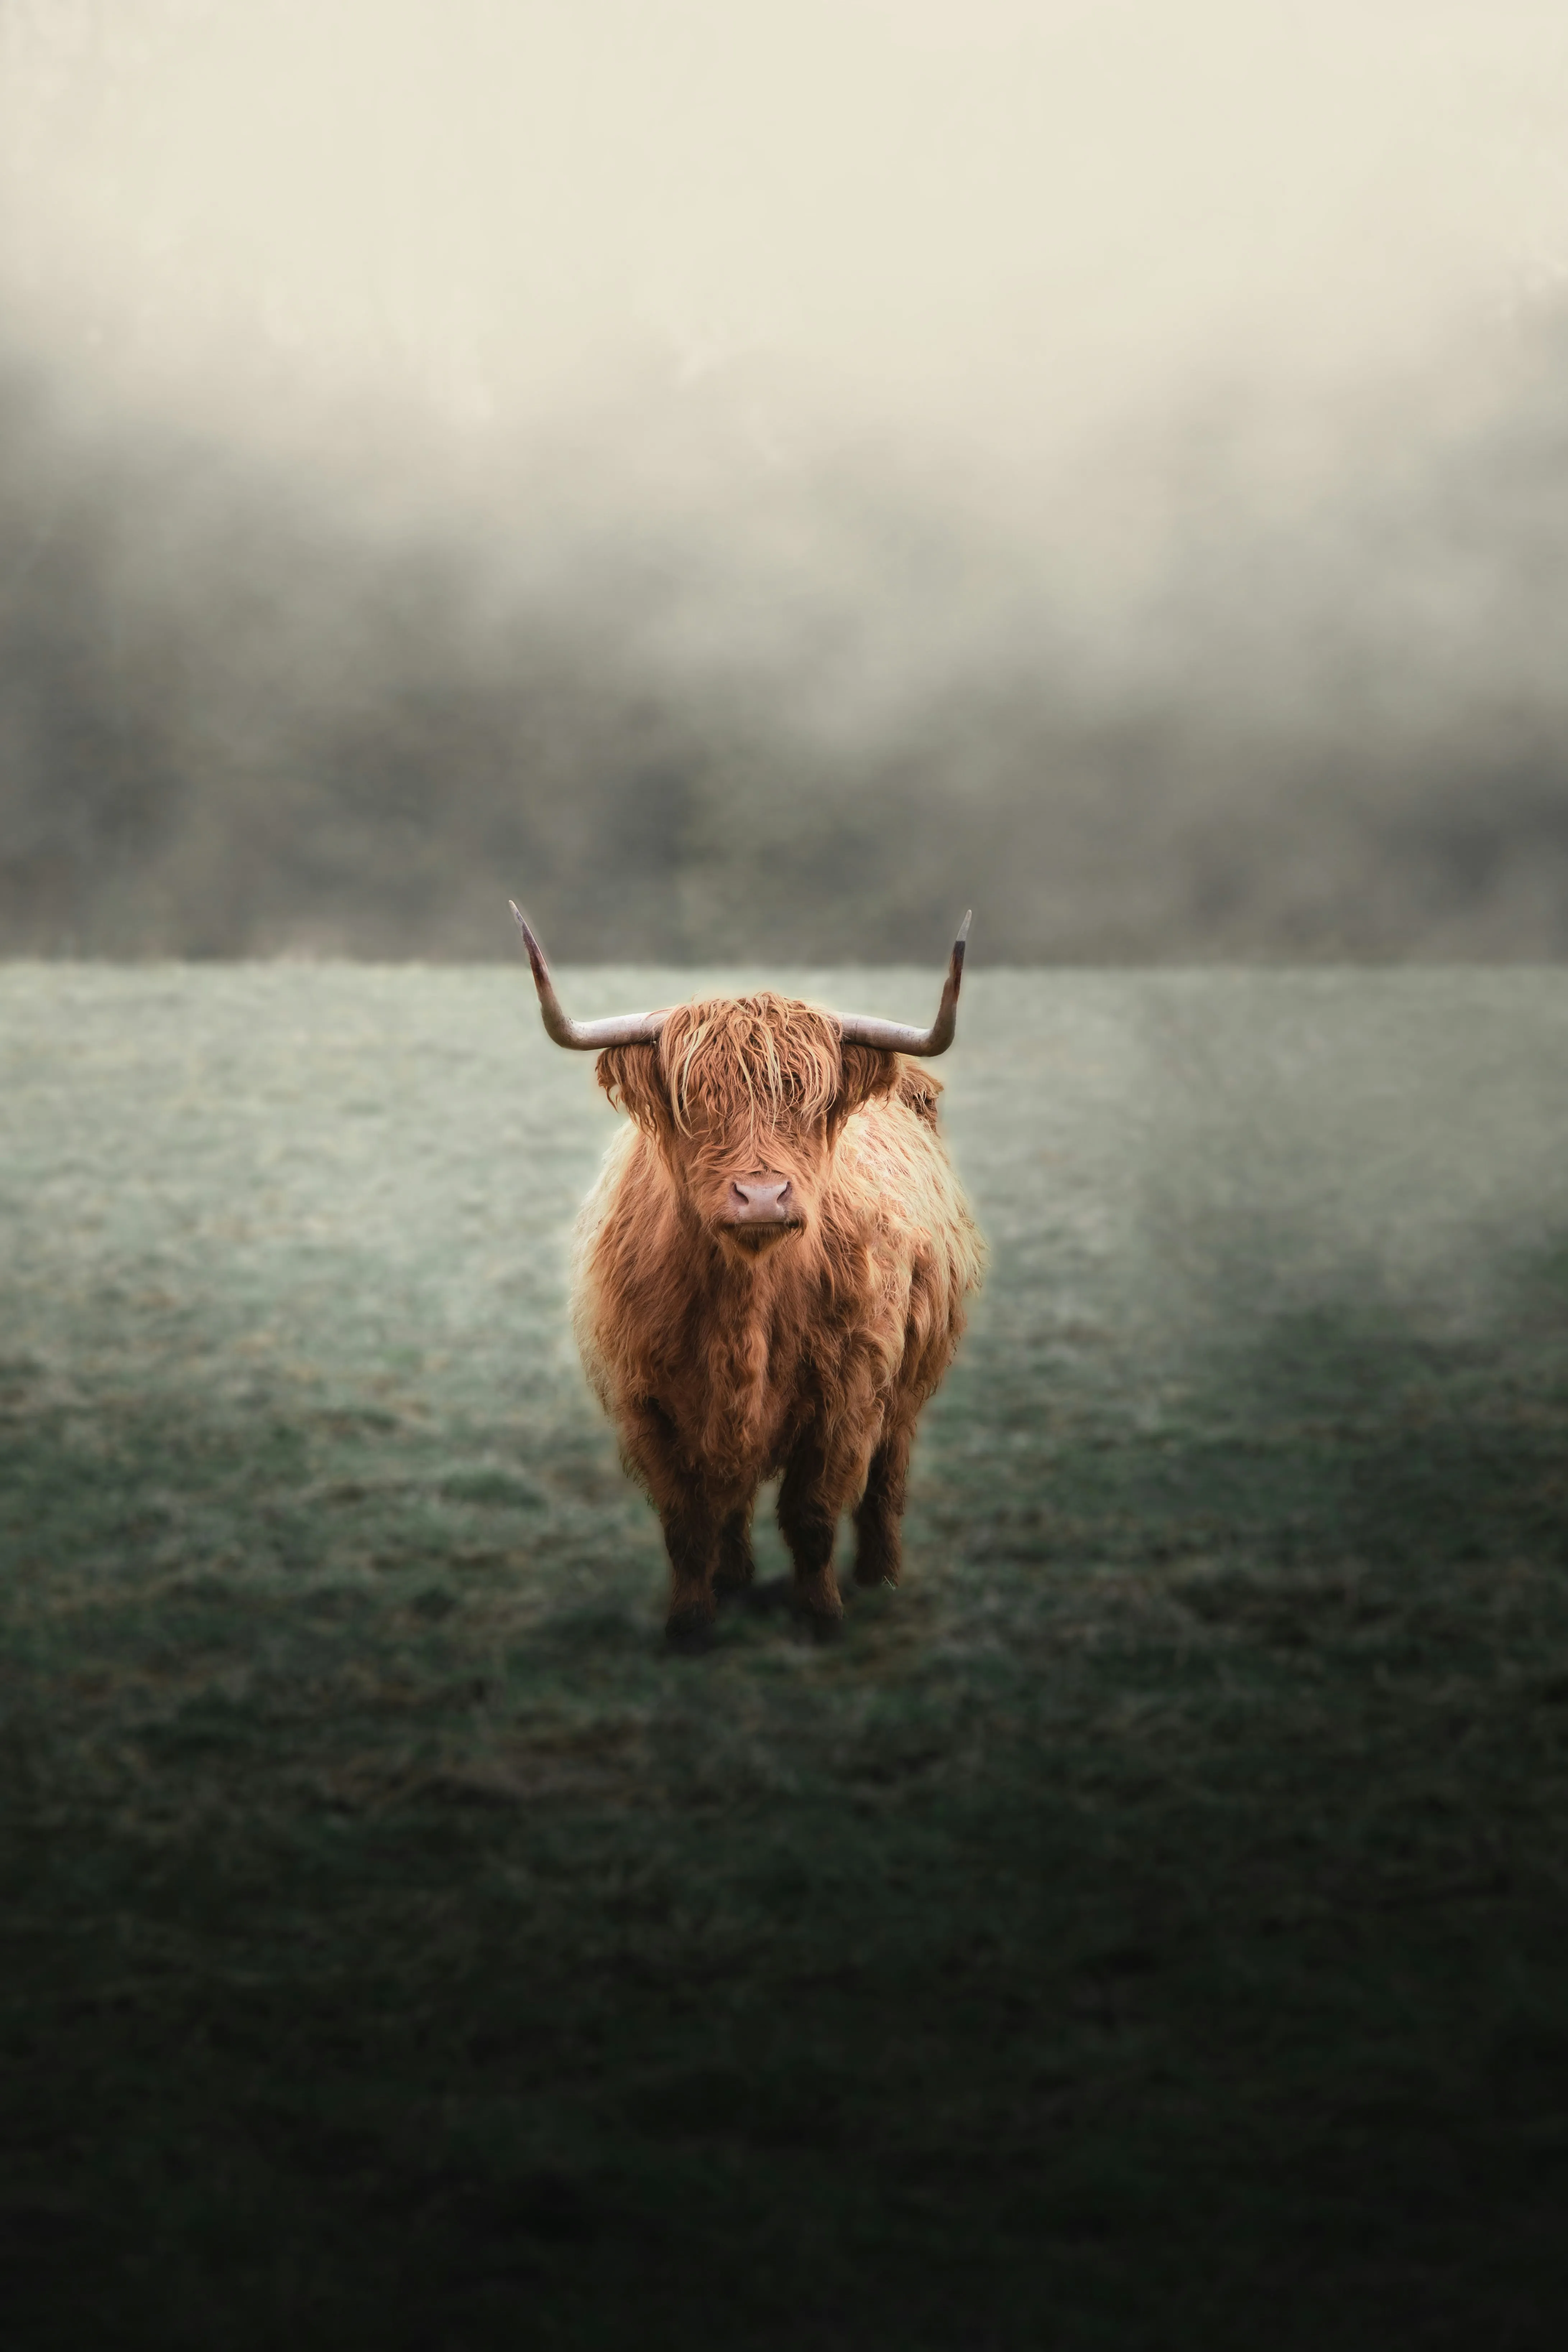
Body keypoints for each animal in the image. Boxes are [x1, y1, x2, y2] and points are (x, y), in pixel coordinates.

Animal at [511, 905, 985, 1645]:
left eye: (811, 1104)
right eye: (695, 1103)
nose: (762, 1196)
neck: (746, 1301)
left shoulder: (847, 1397)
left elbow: (812, 1514)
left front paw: (821, 1613)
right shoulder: (647, 1405)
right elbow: (686, 1522)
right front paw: (690, 1622)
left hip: (909, 1383)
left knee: (888, 1477)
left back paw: (879, 1575)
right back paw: (733, 1577)